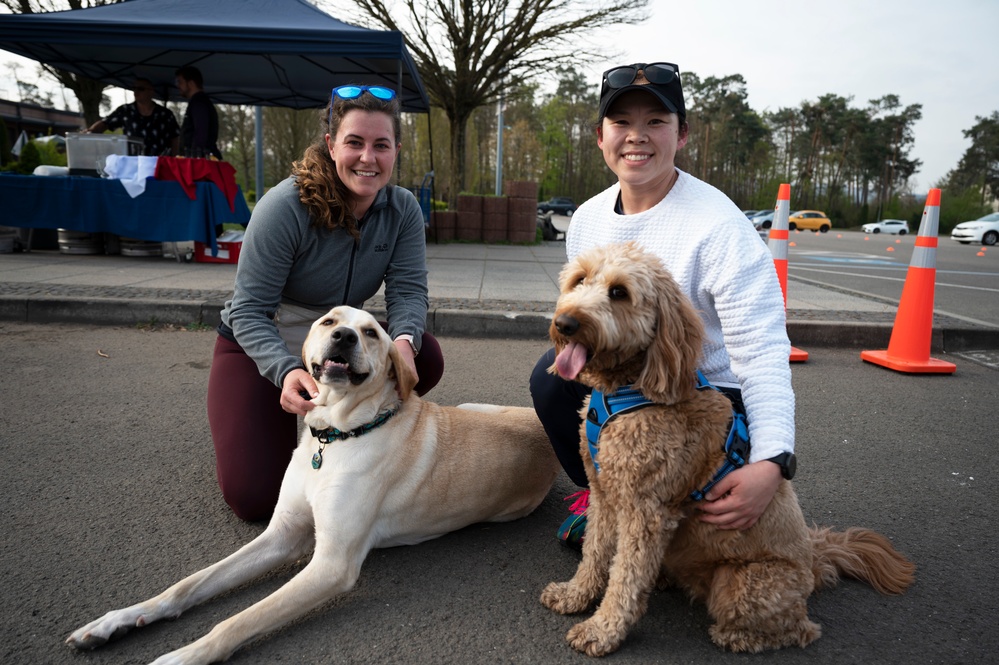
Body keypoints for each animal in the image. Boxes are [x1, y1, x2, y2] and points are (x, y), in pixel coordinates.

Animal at [66, 304, 560, 664]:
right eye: (330, 321)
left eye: (372, 333)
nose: (344, 337)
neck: (336, 435)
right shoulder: (283, 534)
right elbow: (188, 585)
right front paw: (117, 620)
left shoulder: (330, 564)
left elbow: (238, 621)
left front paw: (181, 656)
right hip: (474, 406)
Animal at [540, 243, 916, 652]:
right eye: (579, 280)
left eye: (619, 292)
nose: (566, 323)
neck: (628, 391)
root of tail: (814, 561)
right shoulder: (605, 493)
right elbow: (594, 553)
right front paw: (575, 595)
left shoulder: (646, 511)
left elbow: (625, 577)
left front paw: (603, 629)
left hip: (741, 585)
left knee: (801, 629)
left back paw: (736, 635)